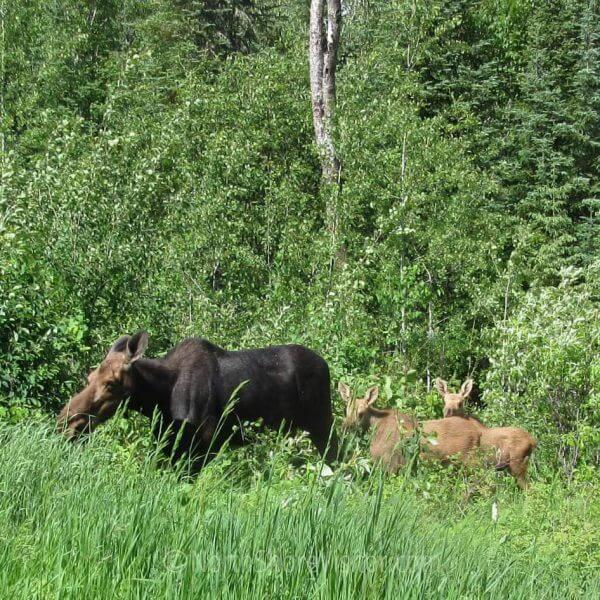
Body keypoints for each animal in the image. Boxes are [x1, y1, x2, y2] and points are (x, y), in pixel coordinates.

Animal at [58, 332, 338, 468]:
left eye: (112, 383)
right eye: (89, 376)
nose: (66, 422)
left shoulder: (207, 444)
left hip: (323, 425)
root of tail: (326, 365)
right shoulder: (170, 446)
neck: (159, 401)